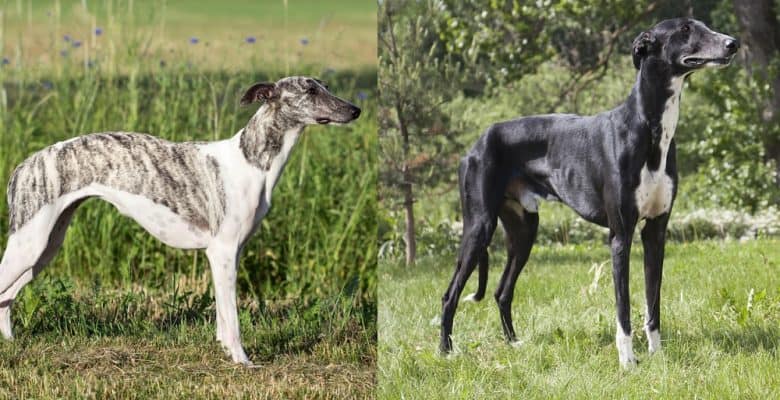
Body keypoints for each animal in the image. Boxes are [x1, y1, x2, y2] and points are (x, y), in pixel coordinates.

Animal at [0, 75, 360, 362]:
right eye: (310, 90)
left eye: (325, 86)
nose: (356, 110)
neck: (250, 159)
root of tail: (25, 164)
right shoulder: (223, 252)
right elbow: (232, 316)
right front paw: (242, 360)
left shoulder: (230, 254)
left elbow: (222, 315)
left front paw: (225, 351)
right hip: (29, 244)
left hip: (45, 247)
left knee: (6, 298)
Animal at [442, 19, 740, 368]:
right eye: (685, 29)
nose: (732, 43)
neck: (648, 128)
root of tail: (476, 144)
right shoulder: (620, 236)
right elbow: (623, 308)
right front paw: (628, 362)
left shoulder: (656, 231)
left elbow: (653, 301)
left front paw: (658, 355)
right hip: (479, 226)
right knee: (450, 294)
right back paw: (445, 352)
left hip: (524, 230)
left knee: (502, 291)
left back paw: (514, 343)